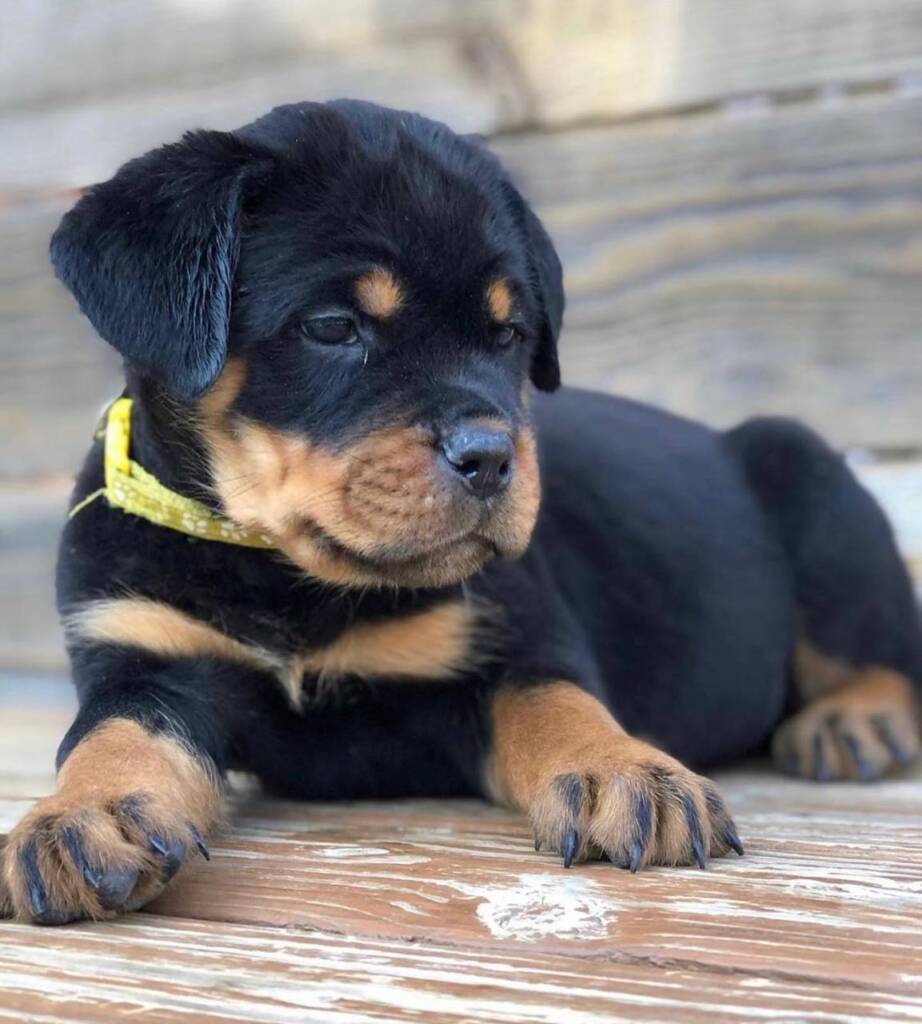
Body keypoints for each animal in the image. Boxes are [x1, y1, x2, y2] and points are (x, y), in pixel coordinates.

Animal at [3, 100, 920, 925]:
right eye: (333, 326)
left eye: (509, 334)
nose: (490, 457)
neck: (282, 572)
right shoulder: (141, 653)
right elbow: (114, 735)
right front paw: (83, 816)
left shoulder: (509, 636)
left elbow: (558, 702)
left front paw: (623, 770)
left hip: (812, 483)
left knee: (878, 645)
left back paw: (853, 720)